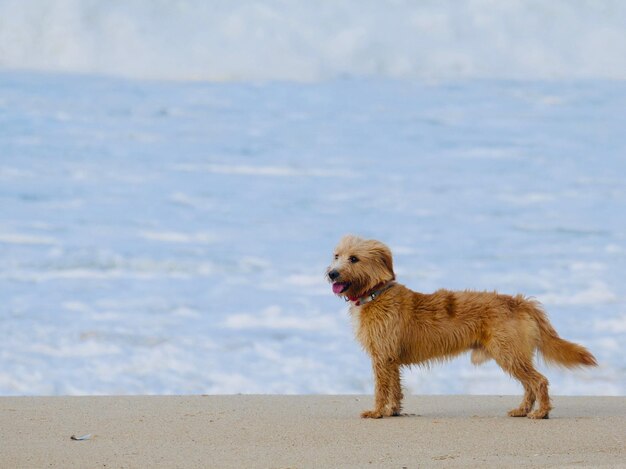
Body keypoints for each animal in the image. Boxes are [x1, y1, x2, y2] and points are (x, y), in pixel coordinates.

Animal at [326, 236, 596, 418]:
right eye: (336, 255)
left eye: (354, 258)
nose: (331, 273)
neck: (376, 293)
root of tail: (521, 302)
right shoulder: (390, 358)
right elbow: (394, 388)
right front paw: (393, 410)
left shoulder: (382, 356)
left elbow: (382, 388)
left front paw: (377, 412)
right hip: (514, 355)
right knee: (529, 384)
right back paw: (522, 410)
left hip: (508, 353)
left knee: (538, 381)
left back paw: (541, 413)